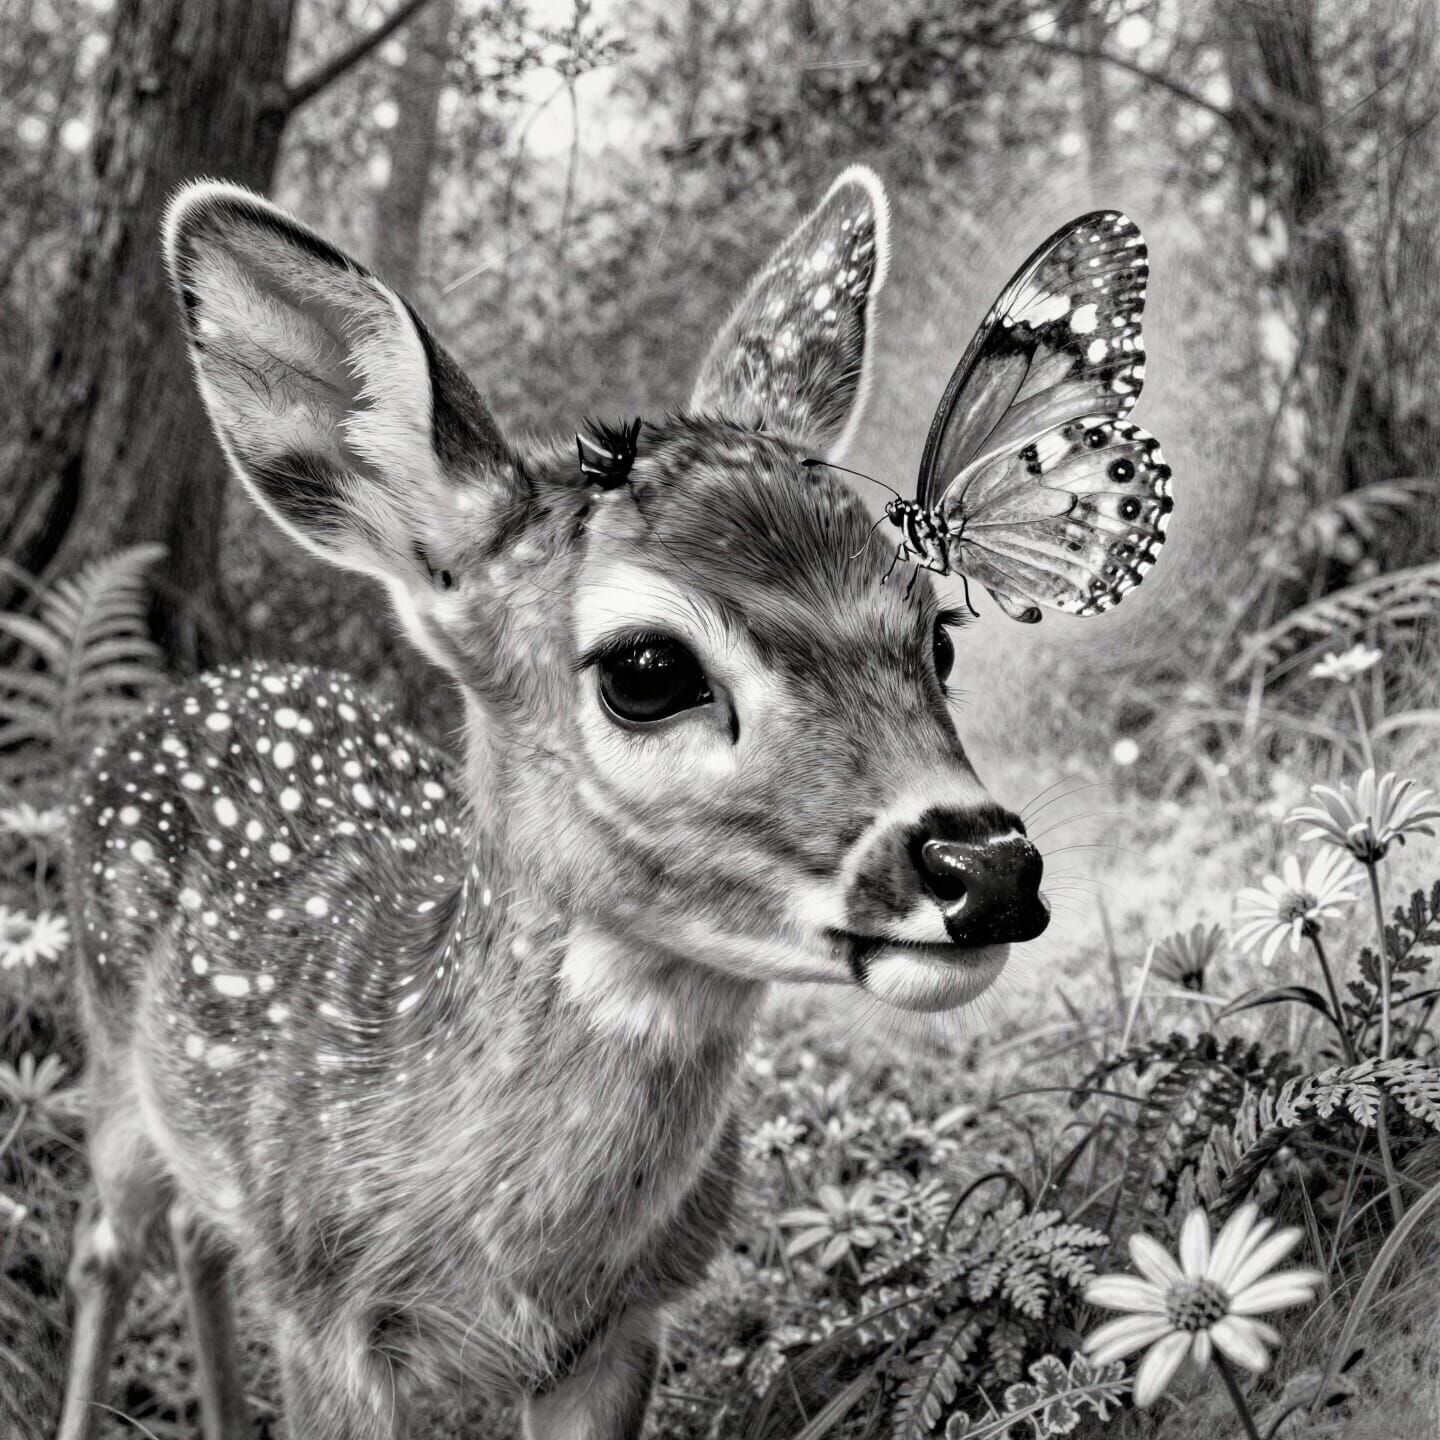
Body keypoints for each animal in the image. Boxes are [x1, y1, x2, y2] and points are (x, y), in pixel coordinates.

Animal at [57, 166, 1049, 1440]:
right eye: (648, 668)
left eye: (941, 633)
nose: (989, 865)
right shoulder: (325, 1313)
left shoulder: (625, 1328)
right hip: (108, 1056)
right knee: (105, 1246)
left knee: (193, 1231)